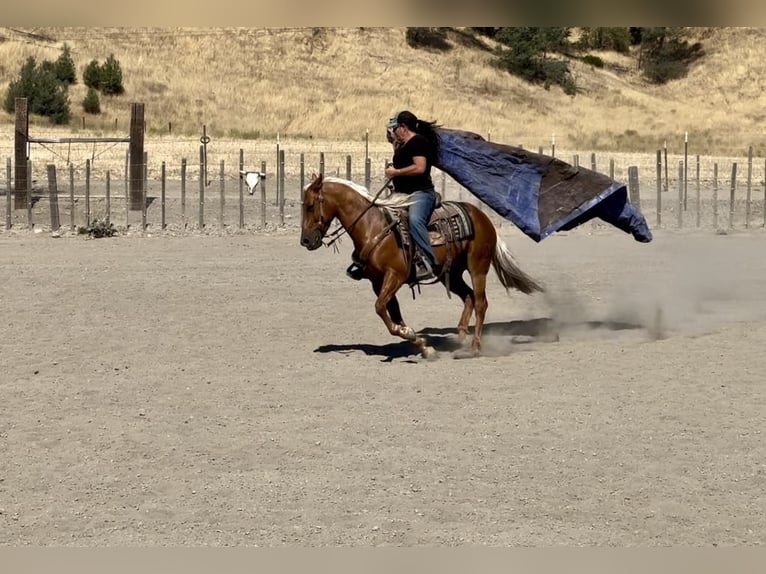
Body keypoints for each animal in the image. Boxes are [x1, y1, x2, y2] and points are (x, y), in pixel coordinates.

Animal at [300, 174, 544, 360]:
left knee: (481, 302)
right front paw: (422, 344)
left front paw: (412, 336)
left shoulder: (395, 276)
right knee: (468, 296)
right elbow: (391, 313)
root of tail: (483, 216)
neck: (373, 227)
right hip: (451, 272)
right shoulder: (378, 282)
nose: (305, 241)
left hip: (478, 267)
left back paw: (474, 347)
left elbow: (380, 308)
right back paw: (462, 337)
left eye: (311, 206)